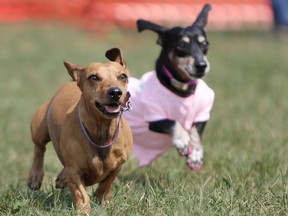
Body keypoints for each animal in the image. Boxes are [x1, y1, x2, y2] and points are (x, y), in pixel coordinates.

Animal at [27, 47, 133, 214]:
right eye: (94, 77)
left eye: (122, 76)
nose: (115, 92)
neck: (102, 131)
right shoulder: (75, 172)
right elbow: (81, 194)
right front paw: (84, 210)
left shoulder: (118, 165)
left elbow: (106, 184)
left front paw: (102, 199)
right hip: (39, 128)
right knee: (39, 148)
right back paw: (35, 177)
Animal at [125, 3, 215, 171]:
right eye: (182, 45)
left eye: (205, 44)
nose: (201, 65)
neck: (181, 90)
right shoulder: (155, 117)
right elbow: (173, 122)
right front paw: (183, 141)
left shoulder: (202, 114)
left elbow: (196, 133)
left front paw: (195, 155)